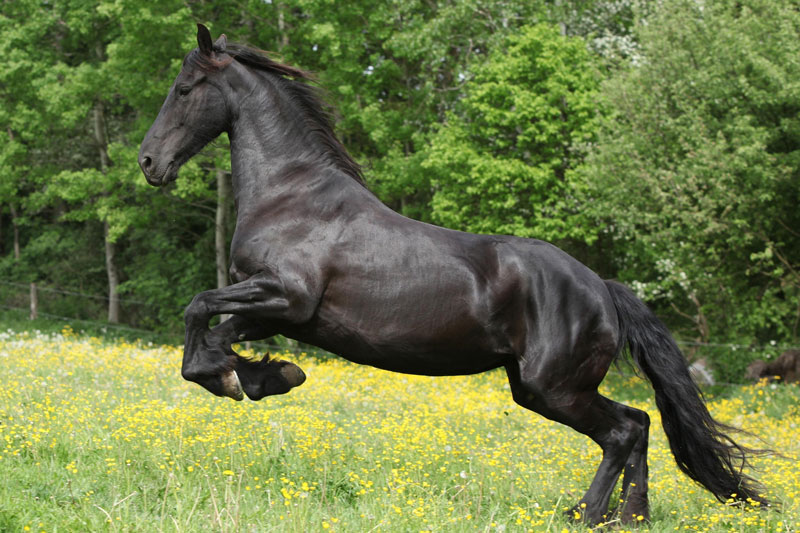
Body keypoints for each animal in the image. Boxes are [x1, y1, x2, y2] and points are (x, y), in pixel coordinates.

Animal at [138, 24, 768, 525]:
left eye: (184, 90)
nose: (148, 162)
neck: (293, 197)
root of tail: (602, 289)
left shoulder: (285, 298)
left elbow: (199, 317)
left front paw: (244, 377)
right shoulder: (277, 312)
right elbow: (212, 333)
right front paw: (266, 374)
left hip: (555, 387)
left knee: (624, 431)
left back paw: (587, 515)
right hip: (540, 388)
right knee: (638, 423)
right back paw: (629, 517)